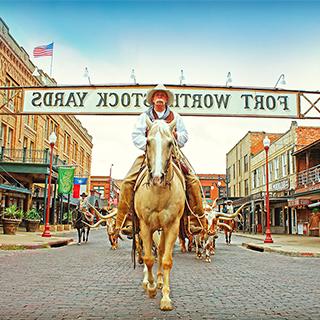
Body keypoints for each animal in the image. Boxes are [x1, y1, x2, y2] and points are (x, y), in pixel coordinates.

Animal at [134, 117, 185, 310]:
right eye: (148, 142)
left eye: (170, 143)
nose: (157, 177)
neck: (158, 193)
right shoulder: (145, 225)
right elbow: (148, 258)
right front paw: (150, 287)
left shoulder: (172, 226)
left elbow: (165, 259)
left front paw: (165, 298)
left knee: (161, 250)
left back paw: (161, 281)